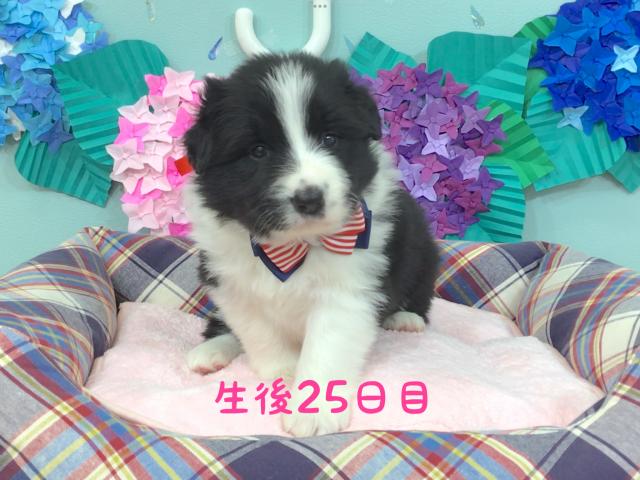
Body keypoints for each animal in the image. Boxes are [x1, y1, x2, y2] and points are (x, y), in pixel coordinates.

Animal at [183, 53, 439, 436]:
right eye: (258, 151)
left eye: (330, 139)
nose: (309, 198)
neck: (292, 246)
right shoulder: (231, 284)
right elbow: (261, 335)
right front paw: (286, 376)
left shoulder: (348, 289)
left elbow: (326, 349)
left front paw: (313, 410)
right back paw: (210, 352)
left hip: (423, 252)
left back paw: (406, 318)